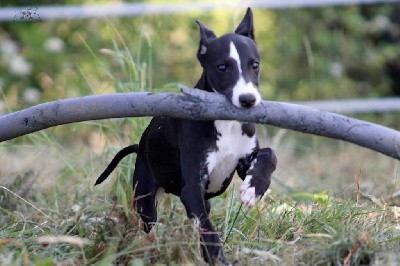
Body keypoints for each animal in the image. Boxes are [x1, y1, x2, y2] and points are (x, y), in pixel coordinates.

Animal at [96, 8, 276, 264]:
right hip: (145, 198)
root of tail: (140, 147)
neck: (226, 124)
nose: (248, 100)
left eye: (255, 65)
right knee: (150, 225)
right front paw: (217, 258)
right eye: (222, 67)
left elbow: (270, 155)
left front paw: (254, 188)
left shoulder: (241, 162)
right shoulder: (191, 189)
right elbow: (208, 230)